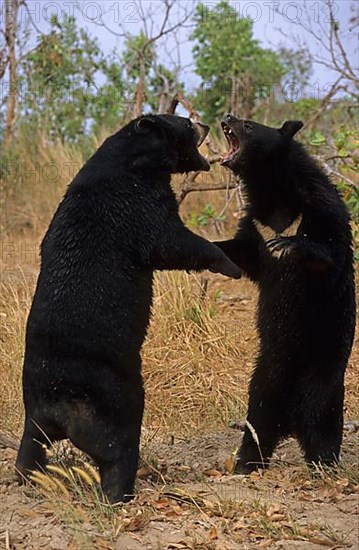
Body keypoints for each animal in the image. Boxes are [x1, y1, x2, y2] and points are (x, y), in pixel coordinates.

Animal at [217, 113, 358, 474]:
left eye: (249, 126)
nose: (226, 117)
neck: (274, 189)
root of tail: (289, 422)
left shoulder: (321, 208)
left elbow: (329, 249)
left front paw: (286, 245)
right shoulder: (255, 225)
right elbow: (240, 253)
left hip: (323, 373)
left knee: (321, 420)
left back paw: (324, 465)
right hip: (262, 382)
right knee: (257, 423)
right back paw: (245, 463)